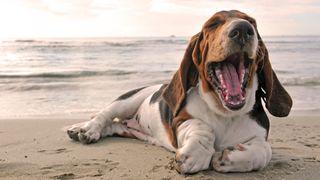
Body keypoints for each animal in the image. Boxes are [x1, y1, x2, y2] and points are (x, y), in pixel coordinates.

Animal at [67, 10, 292, 174]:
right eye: (213, 24)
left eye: (252, 22)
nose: (243, 29)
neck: (224, 113)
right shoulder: (180, 120)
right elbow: (203, 127)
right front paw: (195, 155)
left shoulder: (260, 135)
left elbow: (264, 150)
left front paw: (228, 158)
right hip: (128, 100)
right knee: (104, 115)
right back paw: (86, 130)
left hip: (129, 130)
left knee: (113, 126)